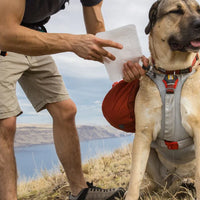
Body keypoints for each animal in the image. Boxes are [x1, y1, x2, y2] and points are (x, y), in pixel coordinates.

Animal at [126, 0, 200, 199]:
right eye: (176, 11)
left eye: (199, 10)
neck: (172, 73)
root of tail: (177, 176)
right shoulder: (143, 135)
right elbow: (134, 177)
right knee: (159, 185)